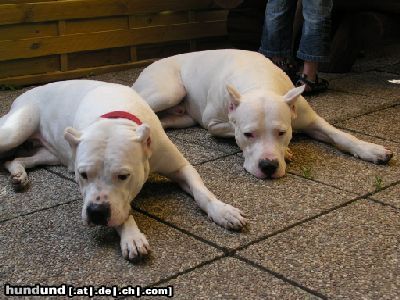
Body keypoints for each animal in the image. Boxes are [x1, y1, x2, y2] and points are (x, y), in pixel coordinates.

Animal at [0, 79, 245, 260]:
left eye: (123, 176)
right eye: (83, 175)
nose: (96, 213)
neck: (115, 118)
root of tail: (25, 94)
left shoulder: (181, 167)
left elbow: (202, 192)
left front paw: (223, 211)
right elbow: (122, 212)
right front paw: (132, 237)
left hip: (50, 153)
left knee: (14, 159)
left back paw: (18, 173)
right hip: (15, 131)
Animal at [134, 49, 394, 178]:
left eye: (282, 132)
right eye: (248, 135)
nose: (268, 165)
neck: (259, 82)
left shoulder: (310, 119)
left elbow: (340, 134)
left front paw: (371, 150)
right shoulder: (214, 124)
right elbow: (230, 130)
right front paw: (286, 152)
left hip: (182, 116)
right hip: (169, 91)